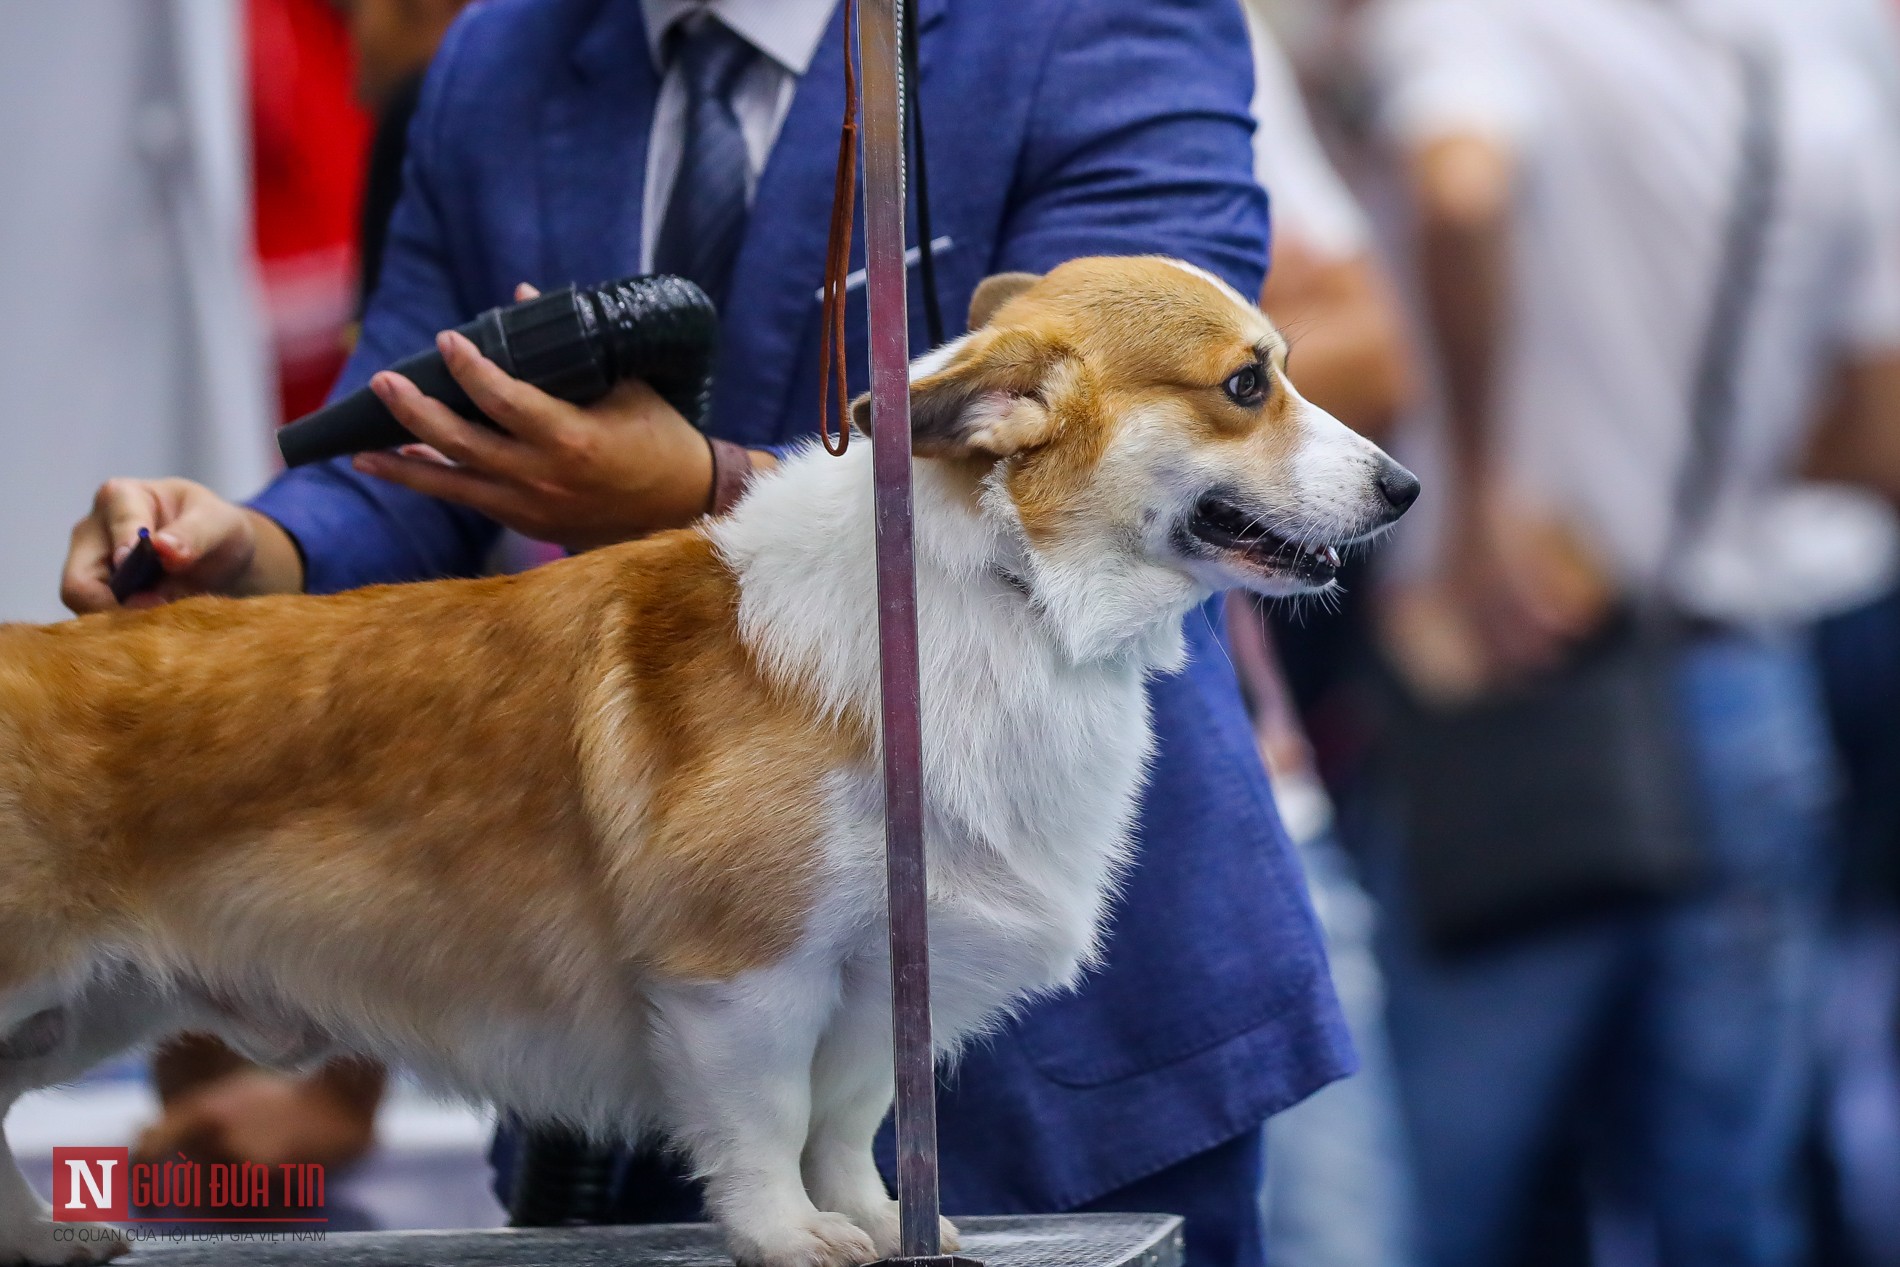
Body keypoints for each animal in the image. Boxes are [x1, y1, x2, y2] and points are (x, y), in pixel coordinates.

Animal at [0, 254, 1413, 1267]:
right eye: (1246, 385)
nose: (1404, 488)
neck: (1001, 588)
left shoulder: (875, 980)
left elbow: (849, 1124)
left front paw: (888, 1224)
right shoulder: (741, 975)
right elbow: (767, 1124)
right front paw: (791, 1240)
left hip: (86, 1007)